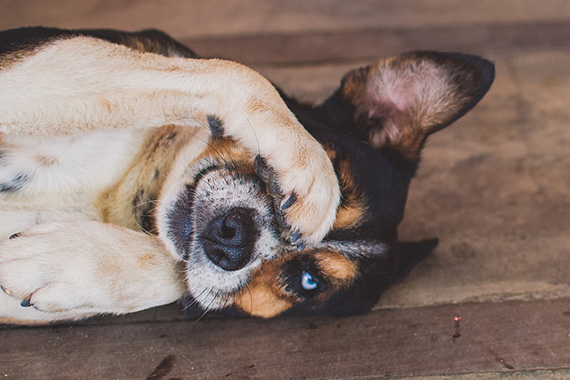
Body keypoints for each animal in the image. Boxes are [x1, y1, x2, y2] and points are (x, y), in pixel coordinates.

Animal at [0, 26, 490, 324]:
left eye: (307, 282)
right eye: (334, 166)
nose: (233, 237)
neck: (137, 185)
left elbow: (174, 272)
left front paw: (72, 259)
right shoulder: (30, 61)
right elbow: (239, 73)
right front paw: (308, 166)